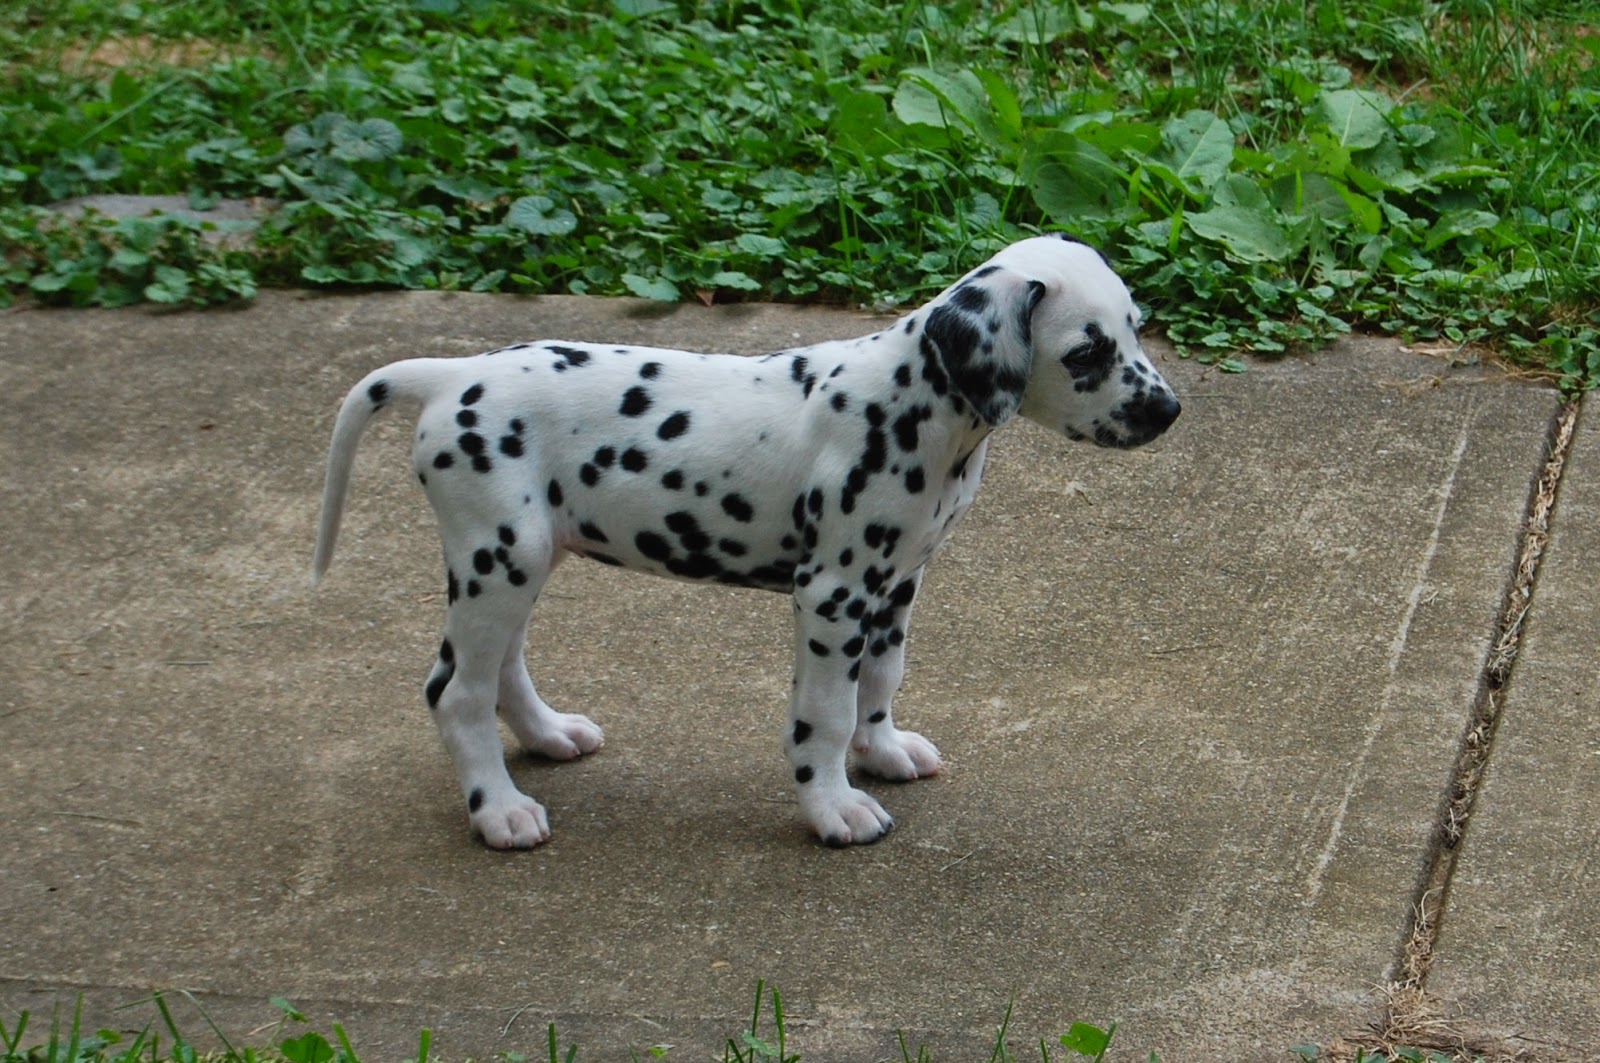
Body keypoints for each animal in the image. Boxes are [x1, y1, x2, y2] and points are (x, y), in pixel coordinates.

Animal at [312, 234, 1180, 849]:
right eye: (1087, 352)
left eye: (1137, 329)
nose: (1168, 410)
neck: (919, 405)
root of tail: (451, 374)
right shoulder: (834, 596)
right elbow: (824, 711)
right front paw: (833, 805)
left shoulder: (898, 582)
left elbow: (880, 679)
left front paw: (881, 751)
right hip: (500, 559)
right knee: (455, 690)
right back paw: (498, 810)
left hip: (523, 559)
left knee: (501, 667)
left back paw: (549, 736)